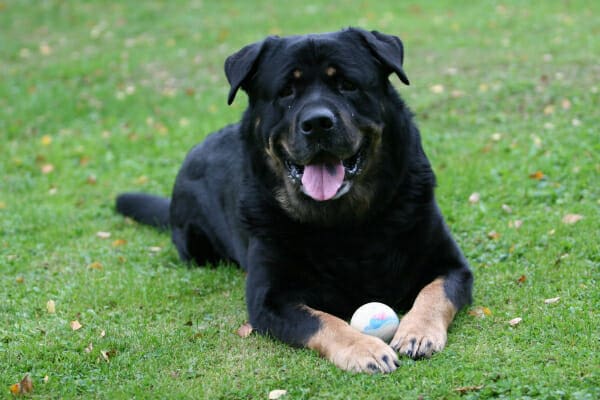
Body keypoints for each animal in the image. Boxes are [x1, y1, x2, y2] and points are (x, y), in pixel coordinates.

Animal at [116, 28, 474, 376]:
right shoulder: (269, 299)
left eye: (347, 85)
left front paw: (418, 332)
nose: (317, 123)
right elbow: (323, 320)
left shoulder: (452, 265)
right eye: (286, 91)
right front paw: (364, 349)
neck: (346, 224)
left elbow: (435, 293)